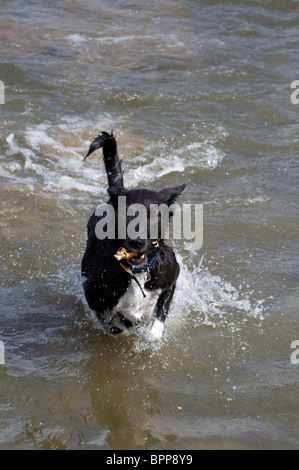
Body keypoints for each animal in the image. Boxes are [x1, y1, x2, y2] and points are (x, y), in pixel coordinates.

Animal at [81, 132, 185, 342]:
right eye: (126, 214)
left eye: (155, 216)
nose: (137, 241)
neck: (137, 272)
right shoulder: (92, 293)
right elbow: (113, 323)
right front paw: (127, 324)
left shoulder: (171, 279)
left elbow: (155, 328)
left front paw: (146, 330)